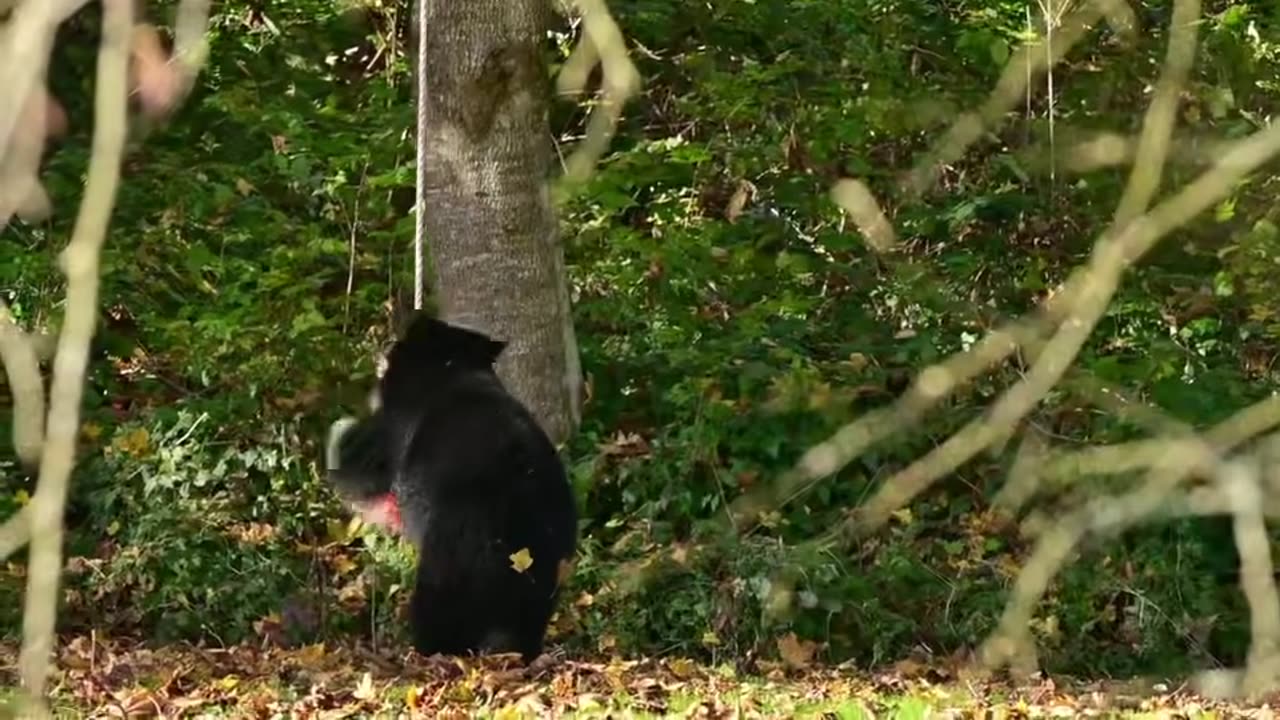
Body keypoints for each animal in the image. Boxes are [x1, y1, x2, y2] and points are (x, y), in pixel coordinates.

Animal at [327, 311, 578, 661]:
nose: (380, 349)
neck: (453, 365)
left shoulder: (394, 430)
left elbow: (359, 471)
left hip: (451, 546)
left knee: (437, 603)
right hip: (548, 552)